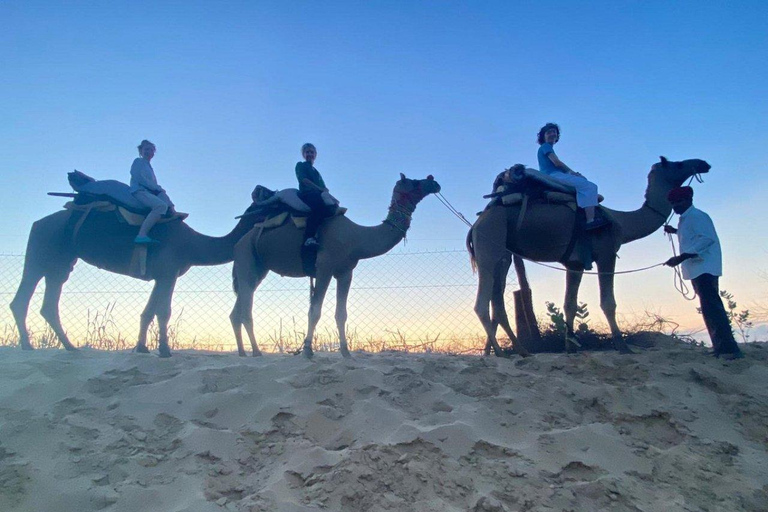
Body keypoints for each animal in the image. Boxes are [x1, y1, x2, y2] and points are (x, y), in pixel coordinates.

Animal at [9, 195, 260, 356]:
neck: (193, 244)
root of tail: (37, 223)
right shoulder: (168, 272)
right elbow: (163, 311)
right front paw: (165, 351)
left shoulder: (162, 276)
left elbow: (147, 312)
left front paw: (142, 348)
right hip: (41, 252)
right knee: (23, 297)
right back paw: (28, 346)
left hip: (60, 264)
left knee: (48, 303)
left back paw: (69, 347)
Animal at [230, 174, 438, 358]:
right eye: (414, 182)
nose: (434, 182)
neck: (356, 237)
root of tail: (239, 243)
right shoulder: (324, 267)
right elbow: (314, 311)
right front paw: (307, 351)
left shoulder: (345, 272)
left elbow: (341, 314)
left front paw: (346, 353)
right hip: (246, 258)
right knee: (246, 308)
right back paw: (256, 352)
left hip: (258, 268)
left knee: (237, 309)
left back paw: (242, 353)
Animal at [464, 156, 712, 356]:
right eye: (677, 164)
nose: (703, 163)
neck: (621, 221)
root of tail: (477, 223)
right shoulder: (606, 253)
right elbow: (608, 302)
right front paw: (622, 346)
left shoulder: (574, 263)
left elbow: (570, 304)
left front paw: (571, 347)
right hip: (490, 242)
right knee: (481, 302)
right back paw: (501, 352)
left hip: (503, 253)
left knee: (497, 301)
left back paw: (518, 351)